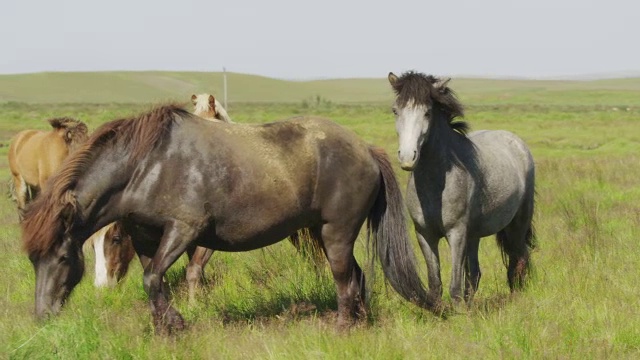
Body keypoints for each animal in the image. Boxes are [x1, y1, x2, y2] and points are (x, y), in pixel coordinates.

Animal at [388, 71, 536, 306]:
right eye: (396, 110)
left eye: (427, 112)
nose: (407, 157)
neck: (435, 183)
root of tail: (516, 142)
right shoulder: (425, 235)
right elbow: (435, 283)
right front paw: (440, 310)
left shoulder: (456, 234)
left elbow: (454, 286)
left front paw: (457, 311)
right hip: (474, 235)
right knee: (475, 273)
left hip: (517, 224)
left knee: (518, 259)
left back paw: (516, 295)